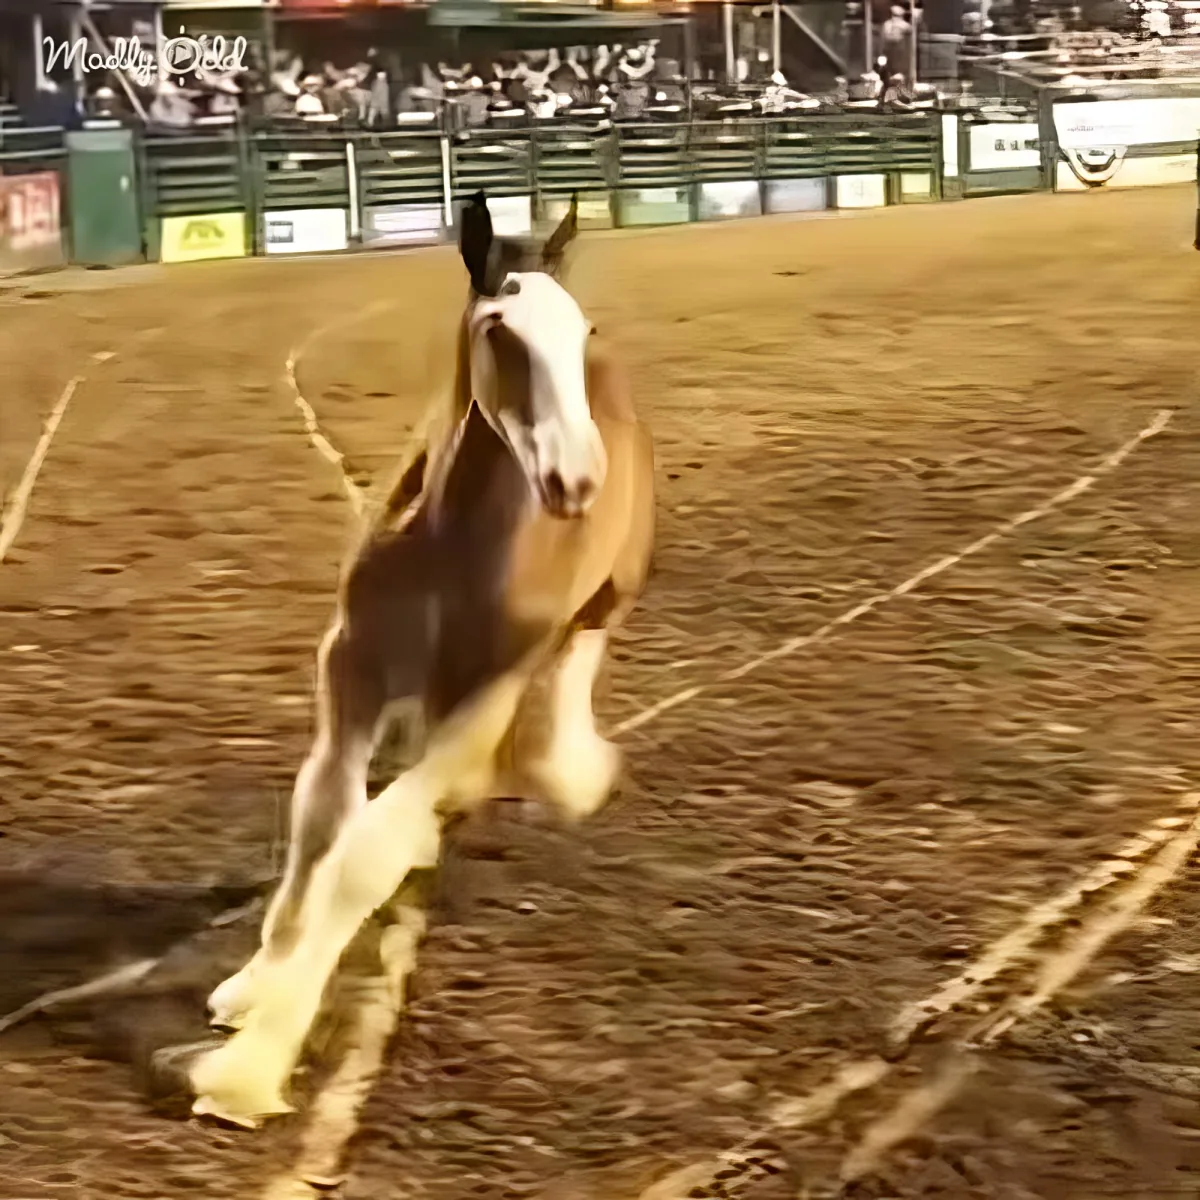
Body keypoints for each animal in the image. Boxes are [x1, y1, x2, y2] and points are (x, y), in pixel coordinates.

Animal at [185, 192, 656, 1127]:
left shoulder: (484, 702)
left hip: (605, 600)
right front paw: (255, 988)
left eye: (578, 330)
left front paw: (250, 1070)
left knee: (567, 688)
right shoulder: (352, 675)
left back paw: (567, 772)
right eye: (501, 332)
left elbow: (365, 853)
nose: (578, 481)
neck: (456, 550)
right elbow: (322, 822)